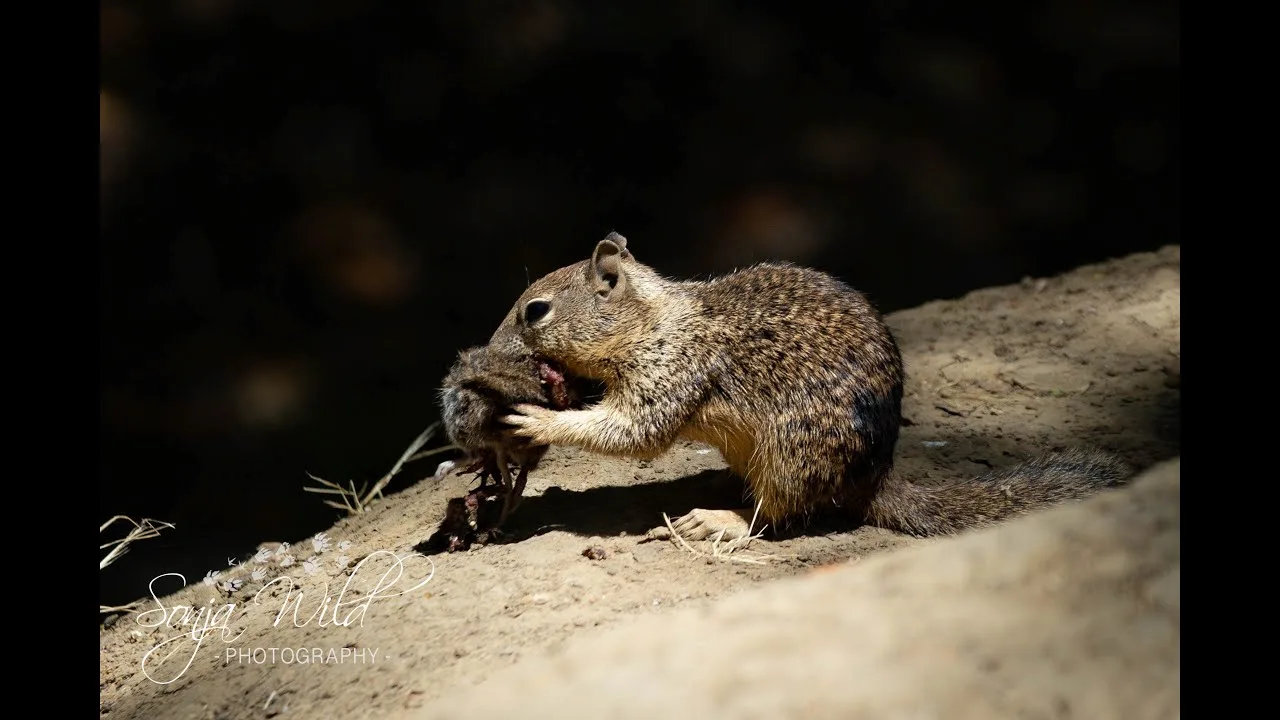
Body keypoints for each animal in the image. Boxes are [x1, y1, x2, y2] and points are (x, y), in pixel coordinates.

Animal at [488, 233, 1131, 535]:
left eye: (535, 311)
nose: (490, 350)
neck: (653, 321)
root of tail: (872, 478)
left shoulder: (671, 370)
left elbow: (632, 431)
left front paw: (537, 419)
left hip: (791, 453)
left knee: (776, 515)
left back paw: (720, 520)